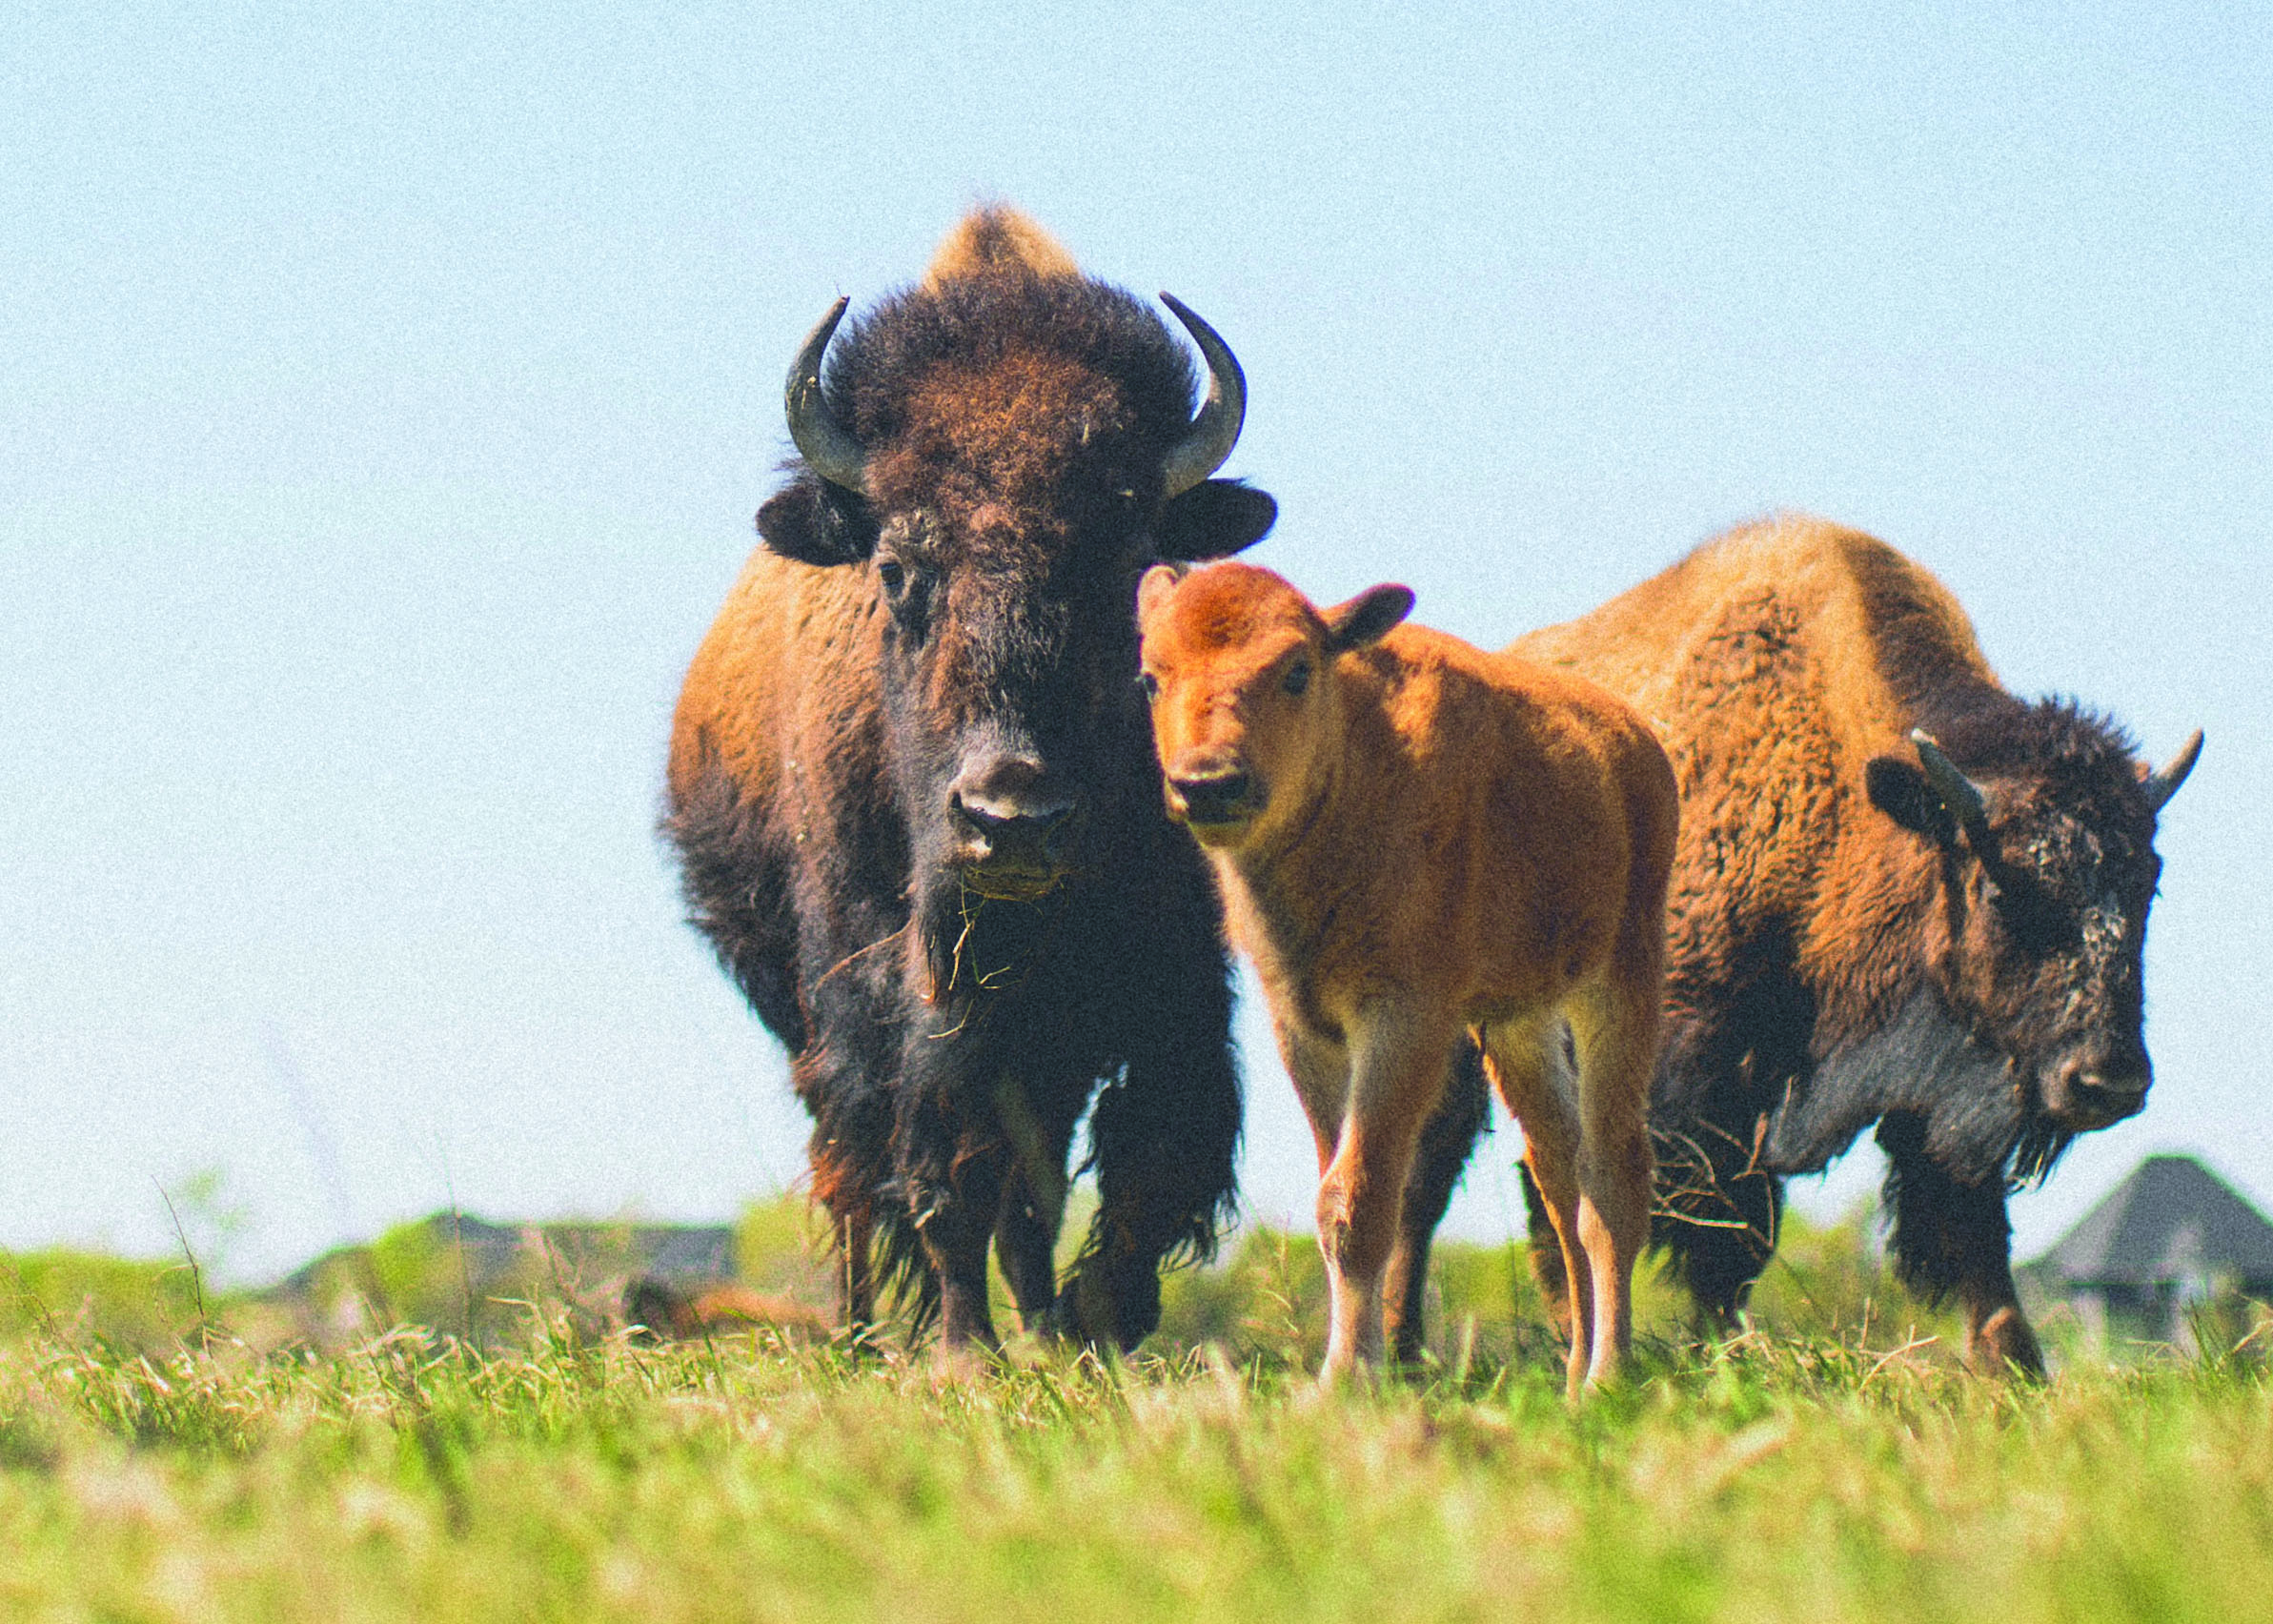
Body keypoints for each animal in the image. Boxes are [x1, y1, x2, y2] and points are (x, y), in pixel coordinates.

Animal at [668, 214, 1282, 1355]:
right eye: (898, 570)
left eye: (1130, 568)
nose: (1013, 818)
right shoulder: (910, 981)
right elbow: (949, 1161)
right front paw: (964, 1355)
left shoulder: (1168, 972)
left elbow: (1145, 1156)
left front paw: (1090, 1323)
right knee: (853, 1176)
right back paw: (863, 1339)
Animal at [1136, 563, 1691, 1383]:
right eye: (1150, 676)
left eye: (1296, 669)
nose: (1207, 782)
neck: (1352, 771)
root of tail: (1635, 743)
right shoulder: (1304, 1028)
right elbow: (1339, 1198)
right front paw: (1356, 1369)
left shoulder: (1404, 1016)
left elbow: (1361, 1198)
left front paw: (1345, 1379)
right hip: (1517, 1024)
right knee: (1559, 1174)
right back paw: (1571, 1377)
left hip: (1619, 979)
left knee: (1612, 1176)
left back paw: (1606, 1377)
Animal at [1390, 516, 2191, 1364]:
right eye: (2001, 887)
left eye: (2147, 883)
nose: (2108, 1082)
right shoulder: (1694, 1077)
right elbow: (1714, 1227)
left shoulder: (1933, 1083)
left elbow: (1966, 1232)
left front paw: (2014, 1370)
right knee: (1428, 1181)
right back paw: (1411, 1353)